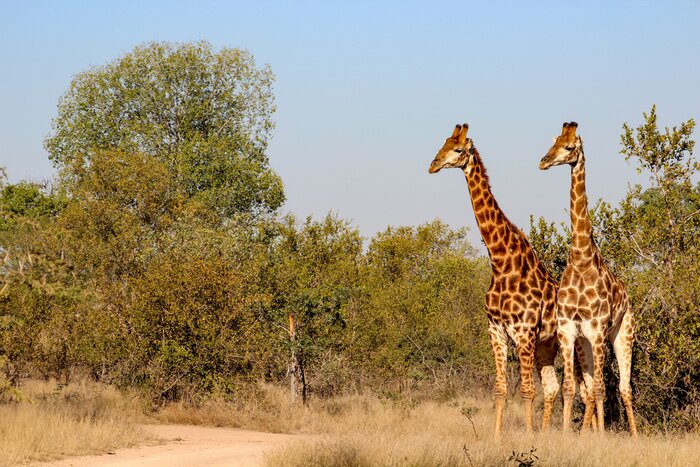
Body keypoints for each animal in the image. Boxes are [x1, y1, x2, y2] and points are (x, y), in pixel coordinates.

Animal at [429, 123, 560, 436]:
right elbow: (500, 389)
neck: (501, 263)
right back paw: (549, 431)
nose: (433, 165)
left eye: (458, 149)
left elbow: (527, 390)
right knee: (554, 387)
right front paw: (497, 436)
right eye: (442, 144)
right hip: (547, 346)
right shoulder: (496, 330)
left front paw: (528, 436)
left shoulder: (524, 331)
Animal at [539, 122, 638, 436]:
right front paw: (568, 434)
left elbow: (600, 389)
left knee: (621, 388)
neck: (581, 260)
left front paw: (596, 435)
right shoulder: (568, 330)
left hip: (622, 335)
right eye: (554, 141)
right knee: (593, 387)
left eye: (570, 147)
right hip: (585, 344)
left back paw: (632, 436)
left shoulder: (597, 331)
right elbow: (570, 388)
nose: (544, 161)